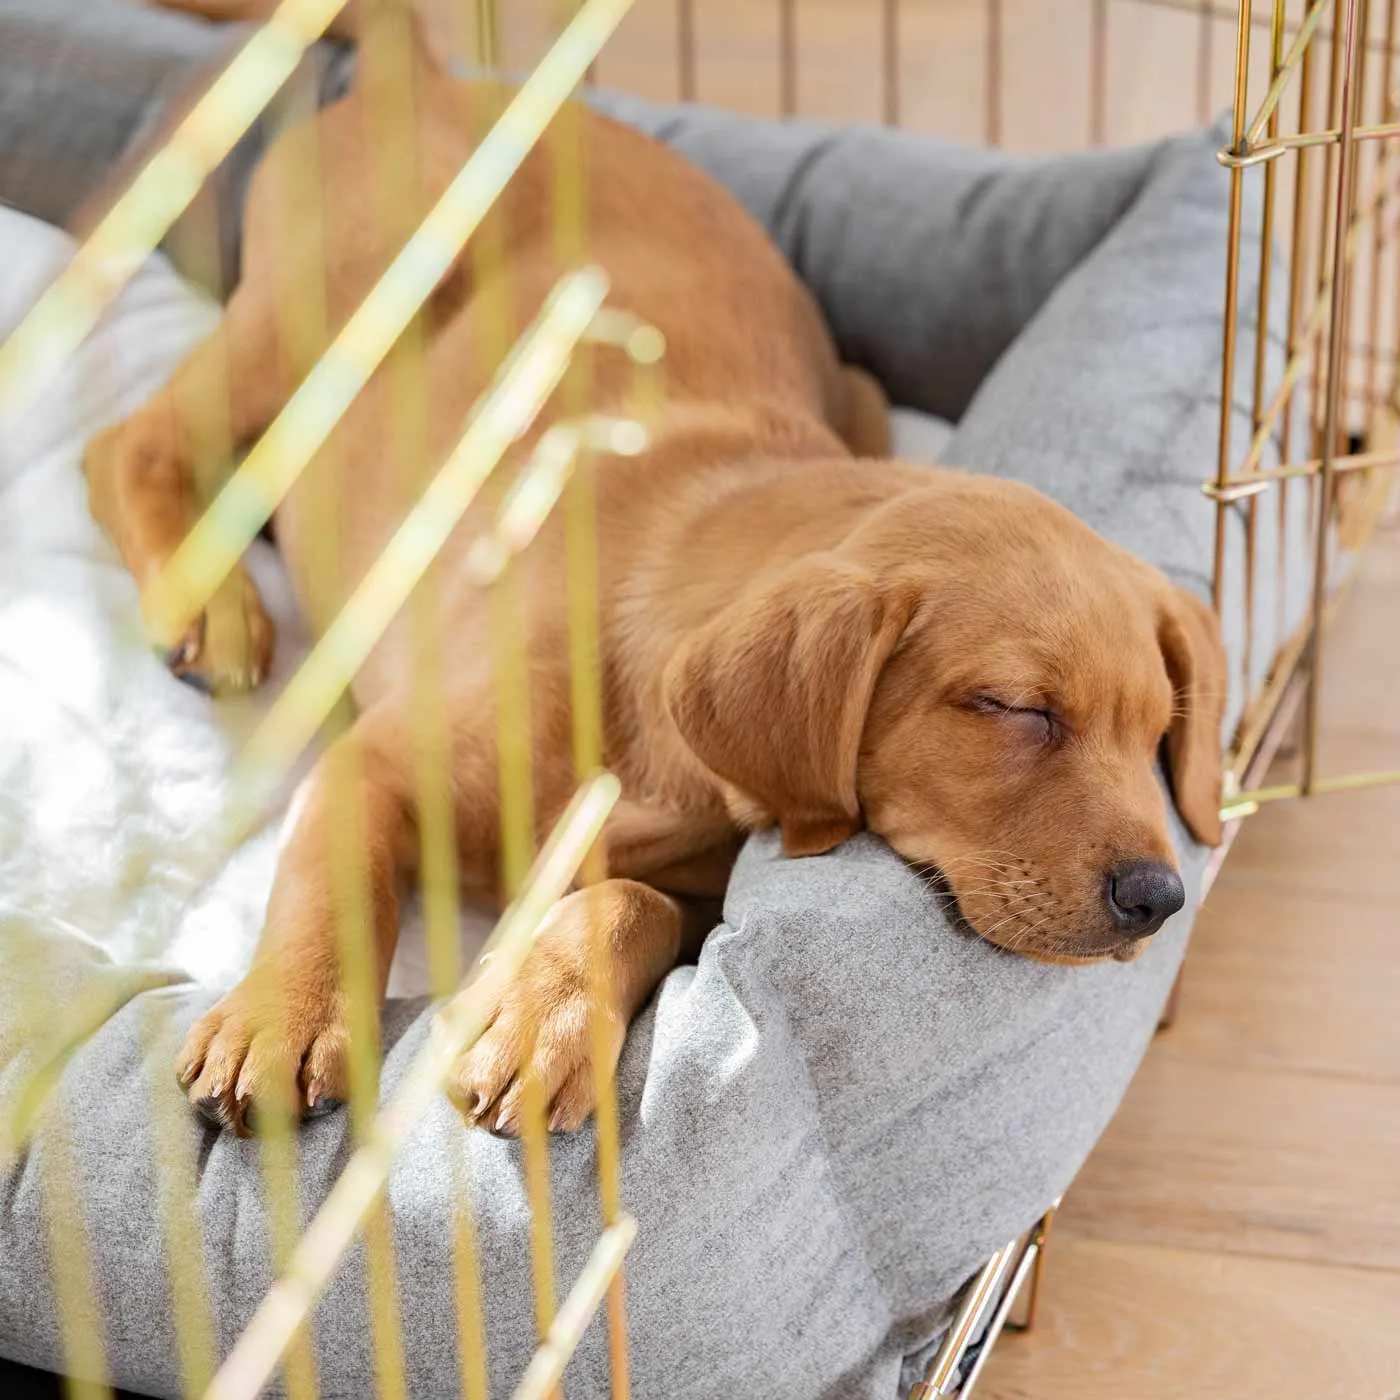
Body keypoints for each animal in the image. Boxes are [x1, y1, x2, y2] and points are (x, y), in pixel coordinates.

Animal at [79, 10, 1226, 1136]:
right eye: (1010, 708)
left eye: (1155, 734)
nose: (1157, 898)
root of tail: (434, 77)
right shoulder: (374, 762)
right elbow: (335, 885)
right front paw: (283, 1016)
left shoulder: (699, 889)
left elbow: (640, 902)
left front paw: (542, 1007)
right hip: (331, 312)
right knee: (130, 441)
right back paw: (212, 601)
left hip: (846, 382)